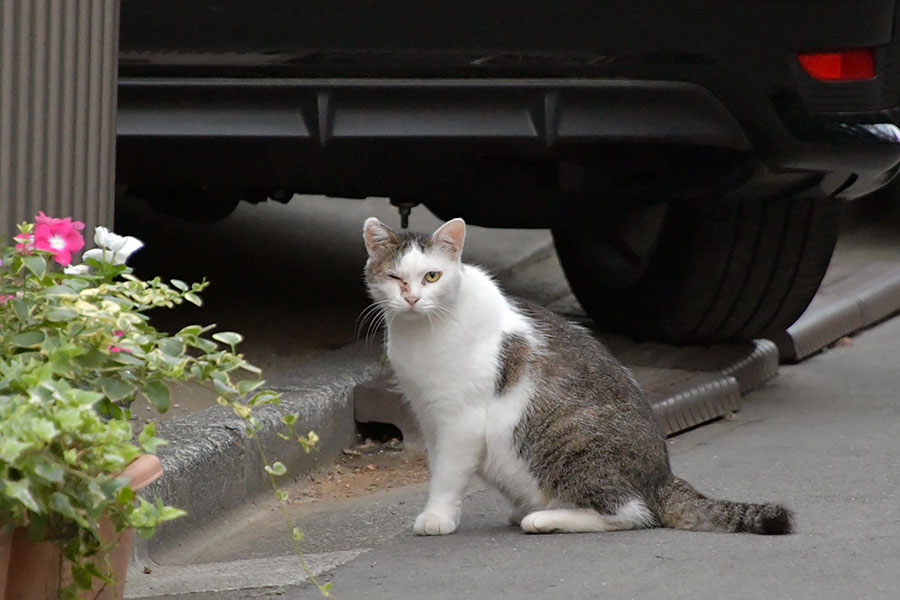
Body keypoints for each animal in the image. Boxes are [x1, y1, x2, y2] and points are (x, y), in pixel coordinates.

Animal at [362, 216, 792, 536]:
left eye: (432, 277)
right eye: (396, 278)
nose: (412, 298)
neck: (421, 334)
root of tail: (662, 478)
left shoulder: (461, 421)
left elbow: (448, 474)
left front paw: (436, 517)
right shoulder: (427, 413)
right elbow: (437, 466)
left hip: (569, 441)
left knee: (631, 513)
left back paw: (543, 518)